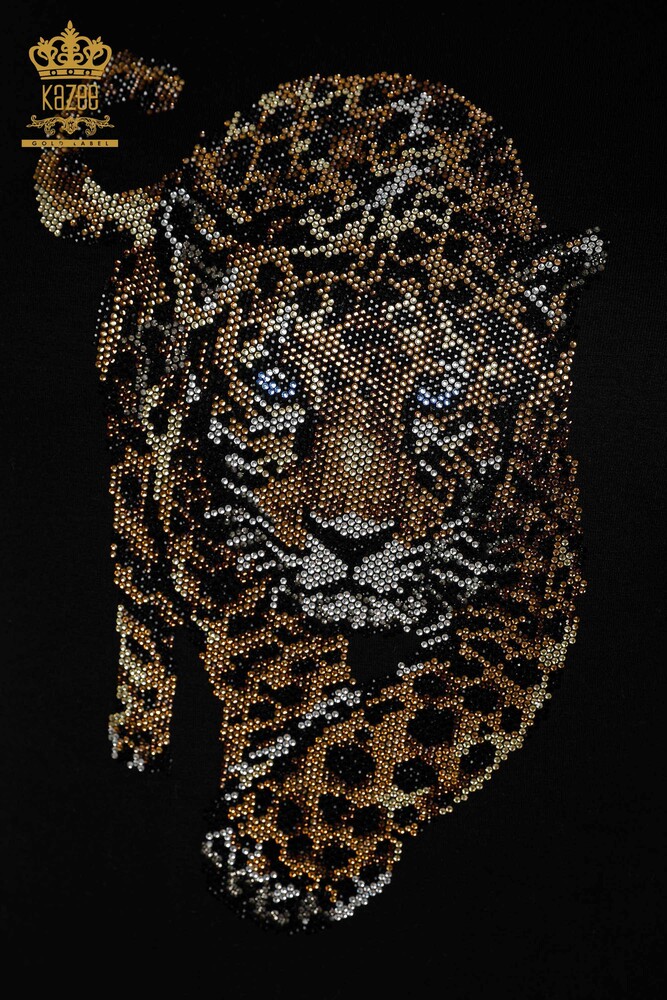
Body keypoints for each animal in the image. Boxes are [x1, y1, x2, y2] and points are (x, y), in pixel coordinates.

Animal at [32, 51, 605, 930]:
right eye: (275, 382)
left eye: (439, 395)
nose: (350, 539)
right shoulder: (202, 503)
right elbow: (273, 654)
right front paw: (278, 813)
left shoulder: (532, 580)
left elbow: (430, 721)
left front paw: (285, 848)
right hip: (133, 460)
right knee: (138, 604)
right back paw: (139, 735)